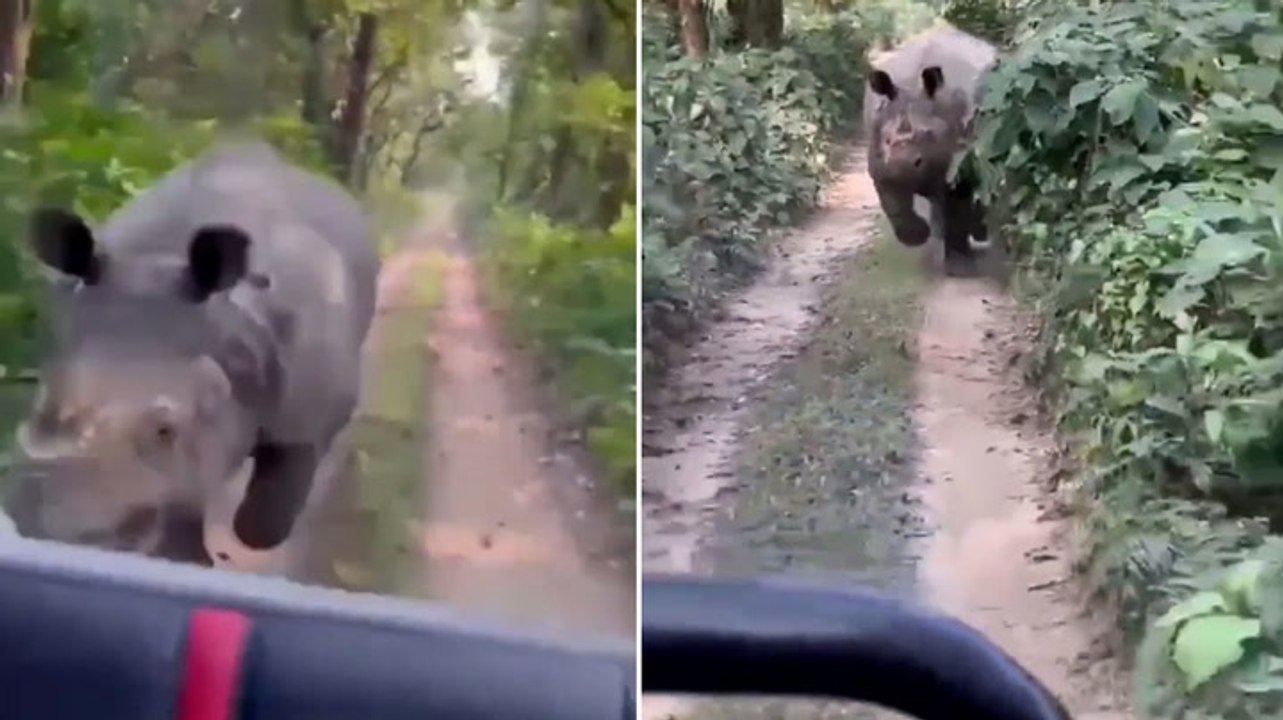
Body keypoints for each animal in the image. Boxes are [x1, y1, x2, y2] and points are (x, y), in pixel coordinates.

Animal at [863, 23, 997, 275]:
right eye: (887, 140)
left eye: (928, 135)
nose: (900, 165)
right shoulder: (878, 160)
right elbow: (893, 204)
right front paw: (918, 236)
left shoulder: (960, 154)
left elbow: (957, 204)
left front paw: (959, 268)